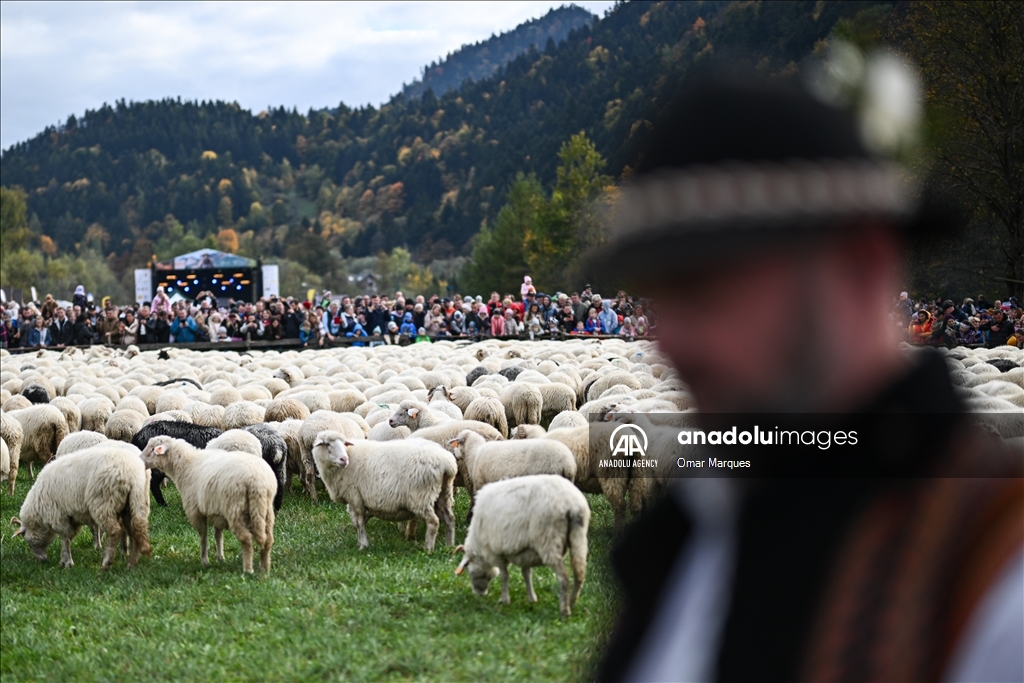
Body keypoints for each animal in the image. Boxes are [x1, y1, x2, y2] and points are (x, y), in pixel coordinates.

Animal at [11, 444, 150, 565]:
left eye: (29, 544)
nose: (41, 560)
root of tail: (131, 475)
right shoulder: (73, 516)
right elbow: (70, 537)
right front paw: (64, 559)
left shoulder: (58, 516)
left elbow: (65, 537)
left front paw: (67, 562)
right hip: (136, 503)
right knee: (134, 530)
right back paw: (129, 560)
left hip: (104, 503)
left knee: (115, 531)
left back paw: (107, 562)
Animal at [142, 436, 276, 573]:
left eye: (152, 449)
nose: (140, 460)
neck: (185, 465)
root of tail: (257, 481)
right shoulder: (217, 512)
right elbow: (218, 535)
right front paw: (220, 558)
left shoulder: (195, 511)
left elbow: (203, 536)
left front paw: (204, 561)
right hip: (265, 510)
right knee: (268, 539)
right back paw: (265, 568)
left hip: (235, 509)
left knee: (247, 539)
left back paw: (248, 569)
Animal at [309, 432, 458, 557]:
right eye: (327, 444)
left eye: (344, 443)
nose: (344, 459)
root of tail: (447, 463)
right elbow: (358, 523)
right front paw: (360, 542)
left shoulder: (355, 496)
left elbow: (359, 522)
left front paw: (363, 545)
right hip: (444, 492)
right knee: (449, 519)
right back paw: (449, 546)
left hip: (421, 496)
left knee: (433, 521)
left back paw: (428, 549)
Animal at [458, 475, 593, 618]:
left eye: (469, 571)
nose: (479, 594)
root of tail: (571, 503)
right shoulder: (525, 554)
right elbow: (526, 574)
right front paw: (532, 598)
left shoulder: (496, 553)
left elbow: (504, 576)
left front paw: (504, 600)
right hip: (579, 537)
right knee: (579, 572)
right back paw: (573, 602)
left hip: (549, 540)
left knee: (564, 578)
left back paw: (565, 610)